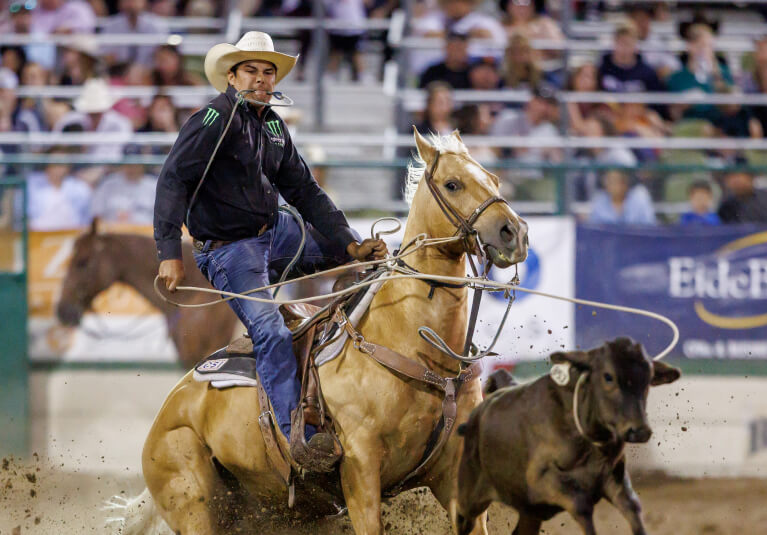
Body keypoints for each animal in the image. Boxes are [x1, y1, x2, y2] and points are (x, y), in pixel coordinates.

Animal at [130, 131, 528, 535]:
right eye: (452, 184)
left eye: (494, 180)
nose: (514, 232)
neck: (413, 346)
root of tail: (168, 409)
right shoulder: (361, 474)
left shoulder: (454, 479)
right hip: (195, 505)